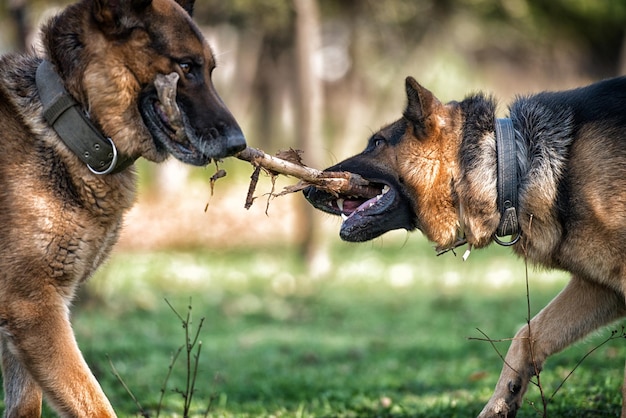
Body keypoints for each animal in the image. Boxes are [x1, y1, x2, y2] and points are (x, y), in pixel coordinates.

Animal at [0, 0, 244, 414]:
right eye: (186, 66)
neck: (69, 122)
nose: (238, 144)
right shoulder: (34, 309)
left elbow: (25, 406)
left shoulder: (22, 325)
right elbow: (95, 405)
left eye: (210, 70)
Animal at [304, 76, 624, 418]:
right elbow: (528, 334)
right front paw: (501, 402)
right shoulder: (599, 288)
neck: (509, 166)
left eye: (377, 143)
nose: (308, 189)